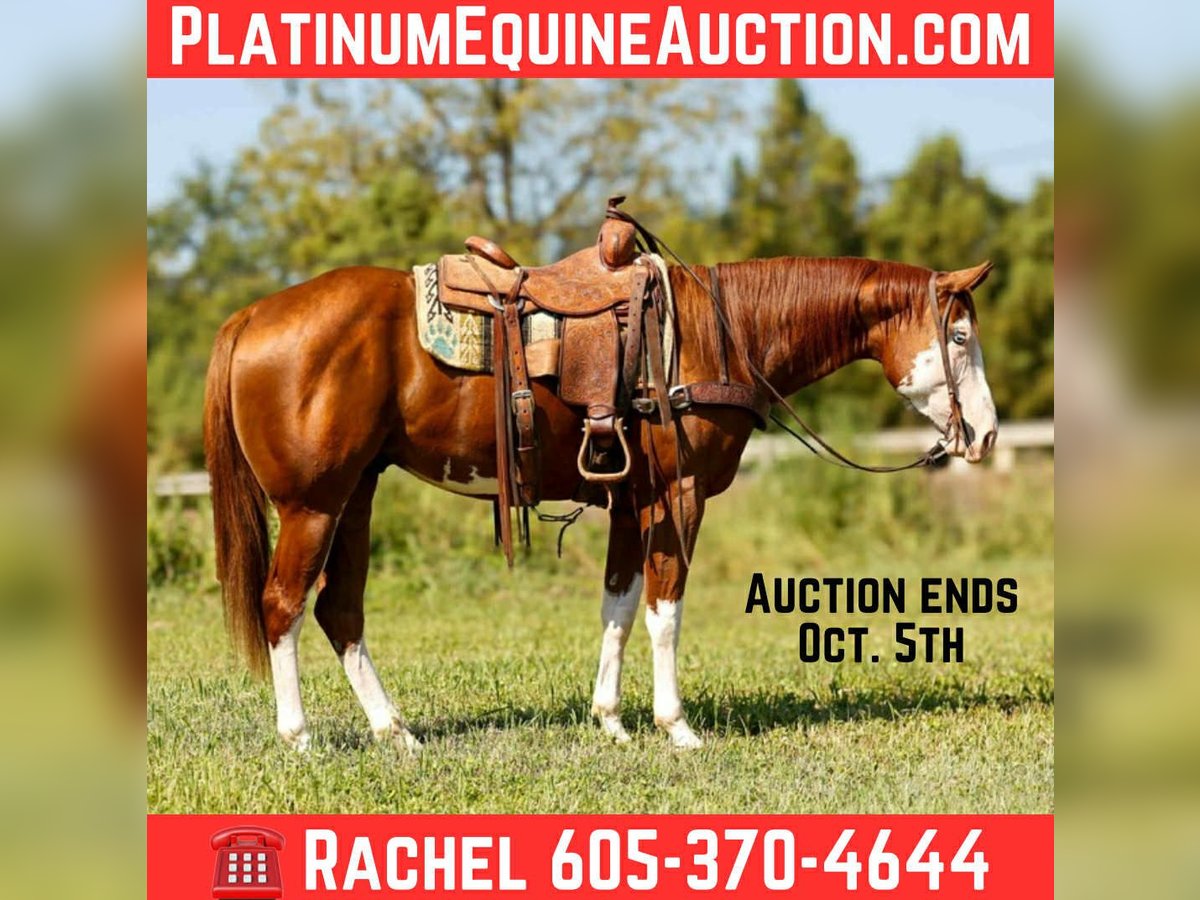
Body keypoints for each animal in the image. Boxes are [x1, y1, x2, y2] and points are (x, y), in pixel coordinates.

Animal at [203, 254, 998, 752]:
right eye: (959, 335)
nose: (986, 434)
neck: (714, 336)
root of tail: (251, 316)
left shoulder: (629, 502)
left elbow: (619, 605)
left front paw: (611, 720)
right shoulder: (678, 497)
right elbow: (665, 612)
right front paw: (676, 726)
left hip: (357, 494)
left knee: (340, 611)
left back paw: (395, 731)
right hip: (312, 504)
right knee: (283, 605)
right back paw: (300, 736)